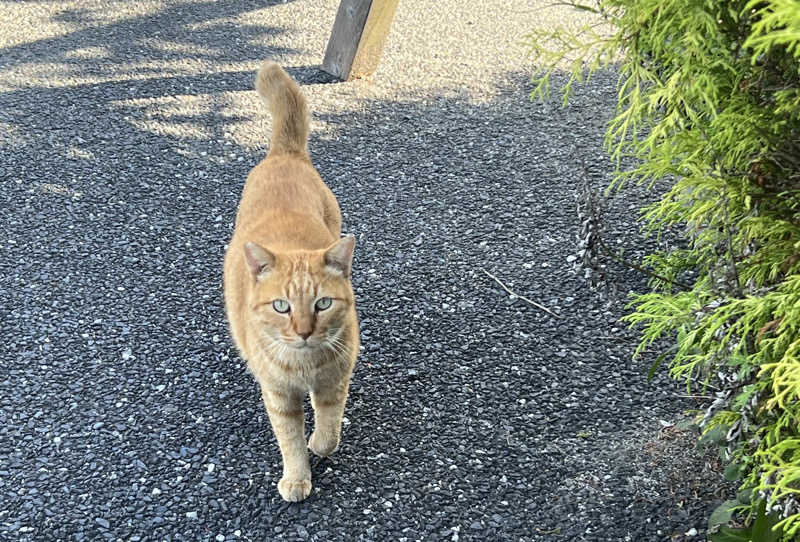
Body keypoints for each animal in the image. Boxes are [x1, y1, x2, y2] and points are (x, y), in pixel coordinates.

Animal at [225, 61, 362, 504]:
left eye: (323, 304)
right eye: (281, 306)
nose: (302, 332)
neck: (305, 365)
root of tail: (285, 154)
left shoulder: (335, 380)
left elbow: (328, 427)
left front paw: (320, 443)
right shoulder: (279, 395)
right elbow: (290, 439)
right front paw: (298, 476)